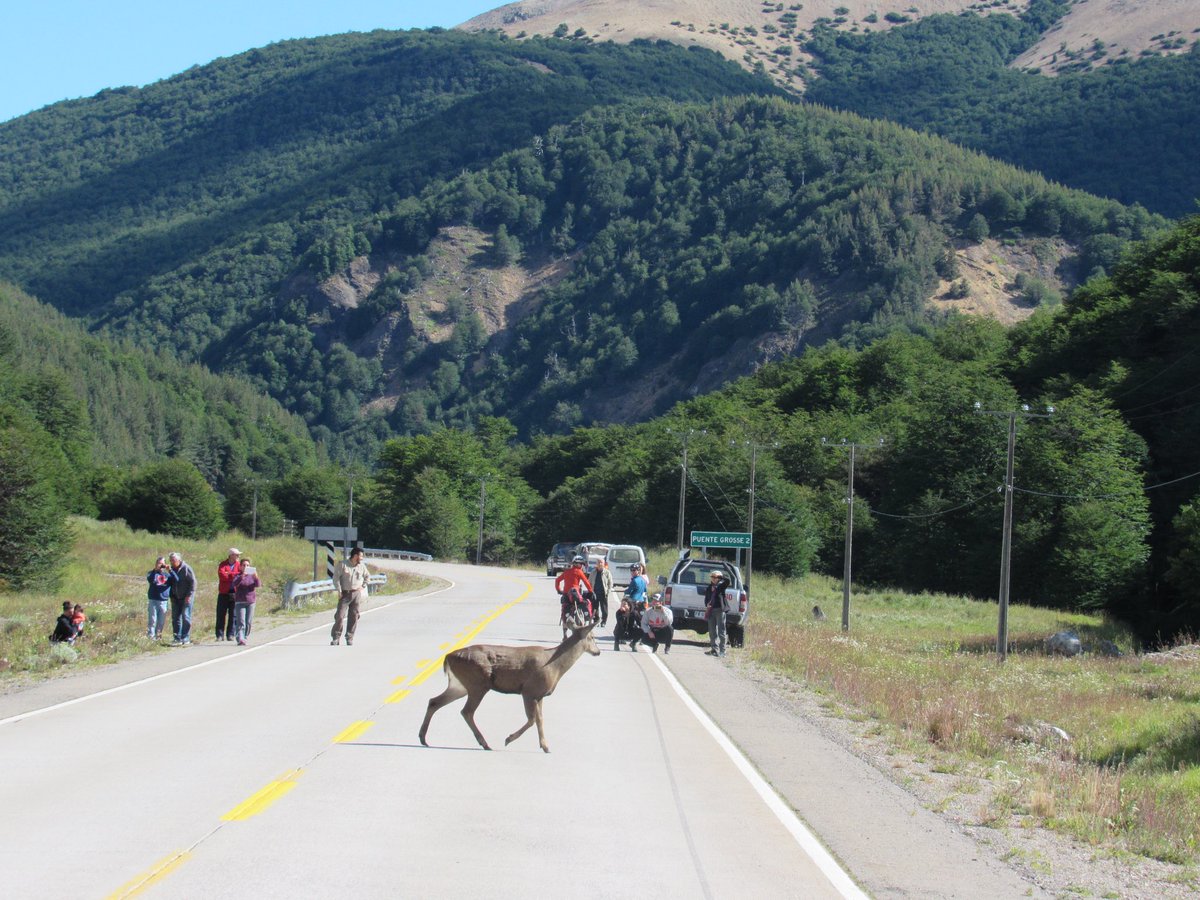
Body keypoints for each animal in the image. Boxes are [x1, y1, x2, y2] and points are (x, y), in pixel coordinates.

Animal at [417, 619, 600, 753]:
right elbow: (532, 719)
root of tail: (448, 657)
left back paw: (423, 738)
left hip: (459, 685)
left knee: (434, 701)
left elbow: (540, 719)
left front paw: (545, 746)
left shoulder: (539, 694)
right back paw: (485, 743)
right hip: (477, 683)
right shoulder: (529, 690)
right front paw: (509, 739)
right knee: (466, 711)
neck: (555, 665)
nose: (597, 652)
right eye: (592, 637)